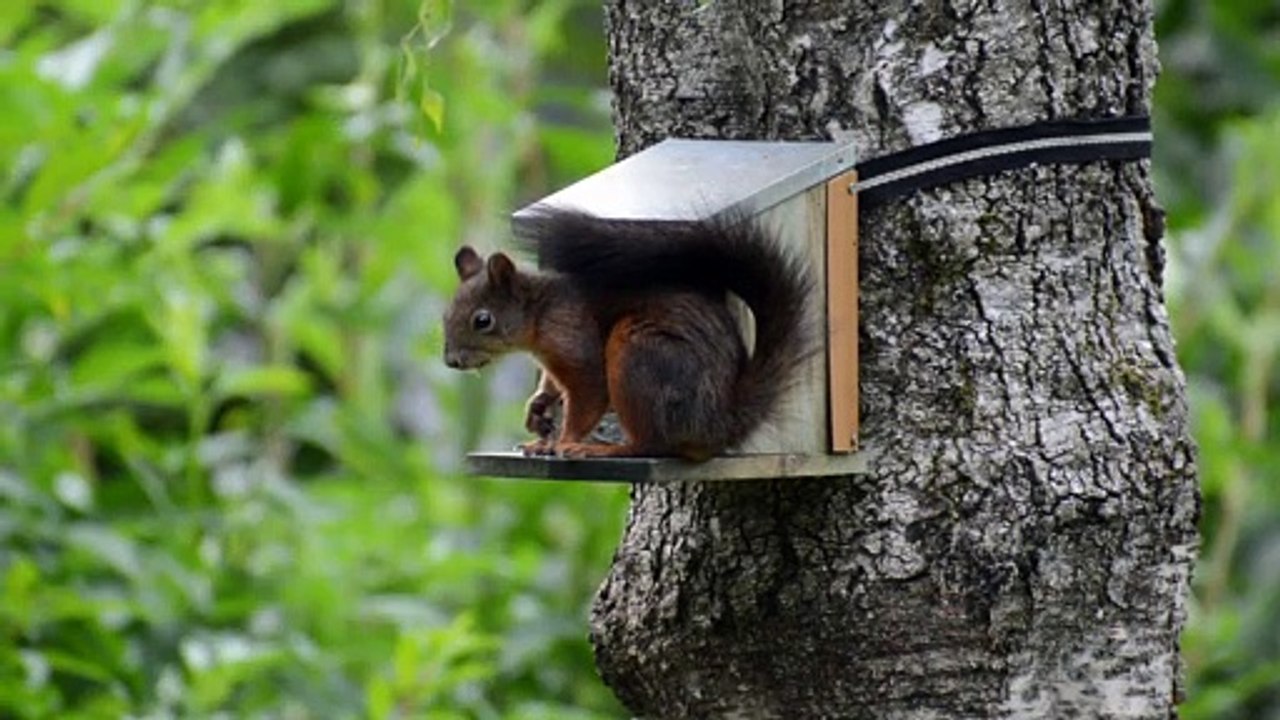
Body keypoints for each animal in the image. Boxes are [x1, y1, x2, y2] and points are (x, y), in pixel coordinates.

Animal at [442, 208, 814, 461]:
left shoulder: (574, 339)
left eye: (482, 320)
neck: (540, 312)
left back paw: (606, 450)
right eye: (444, 315)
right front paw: (538, 409)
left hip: (639, 353)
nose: (451, 362)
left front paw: (564, 440)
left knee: (651, 444)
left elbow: (588, 393)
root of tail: (716, 422)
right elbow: (552, 383)